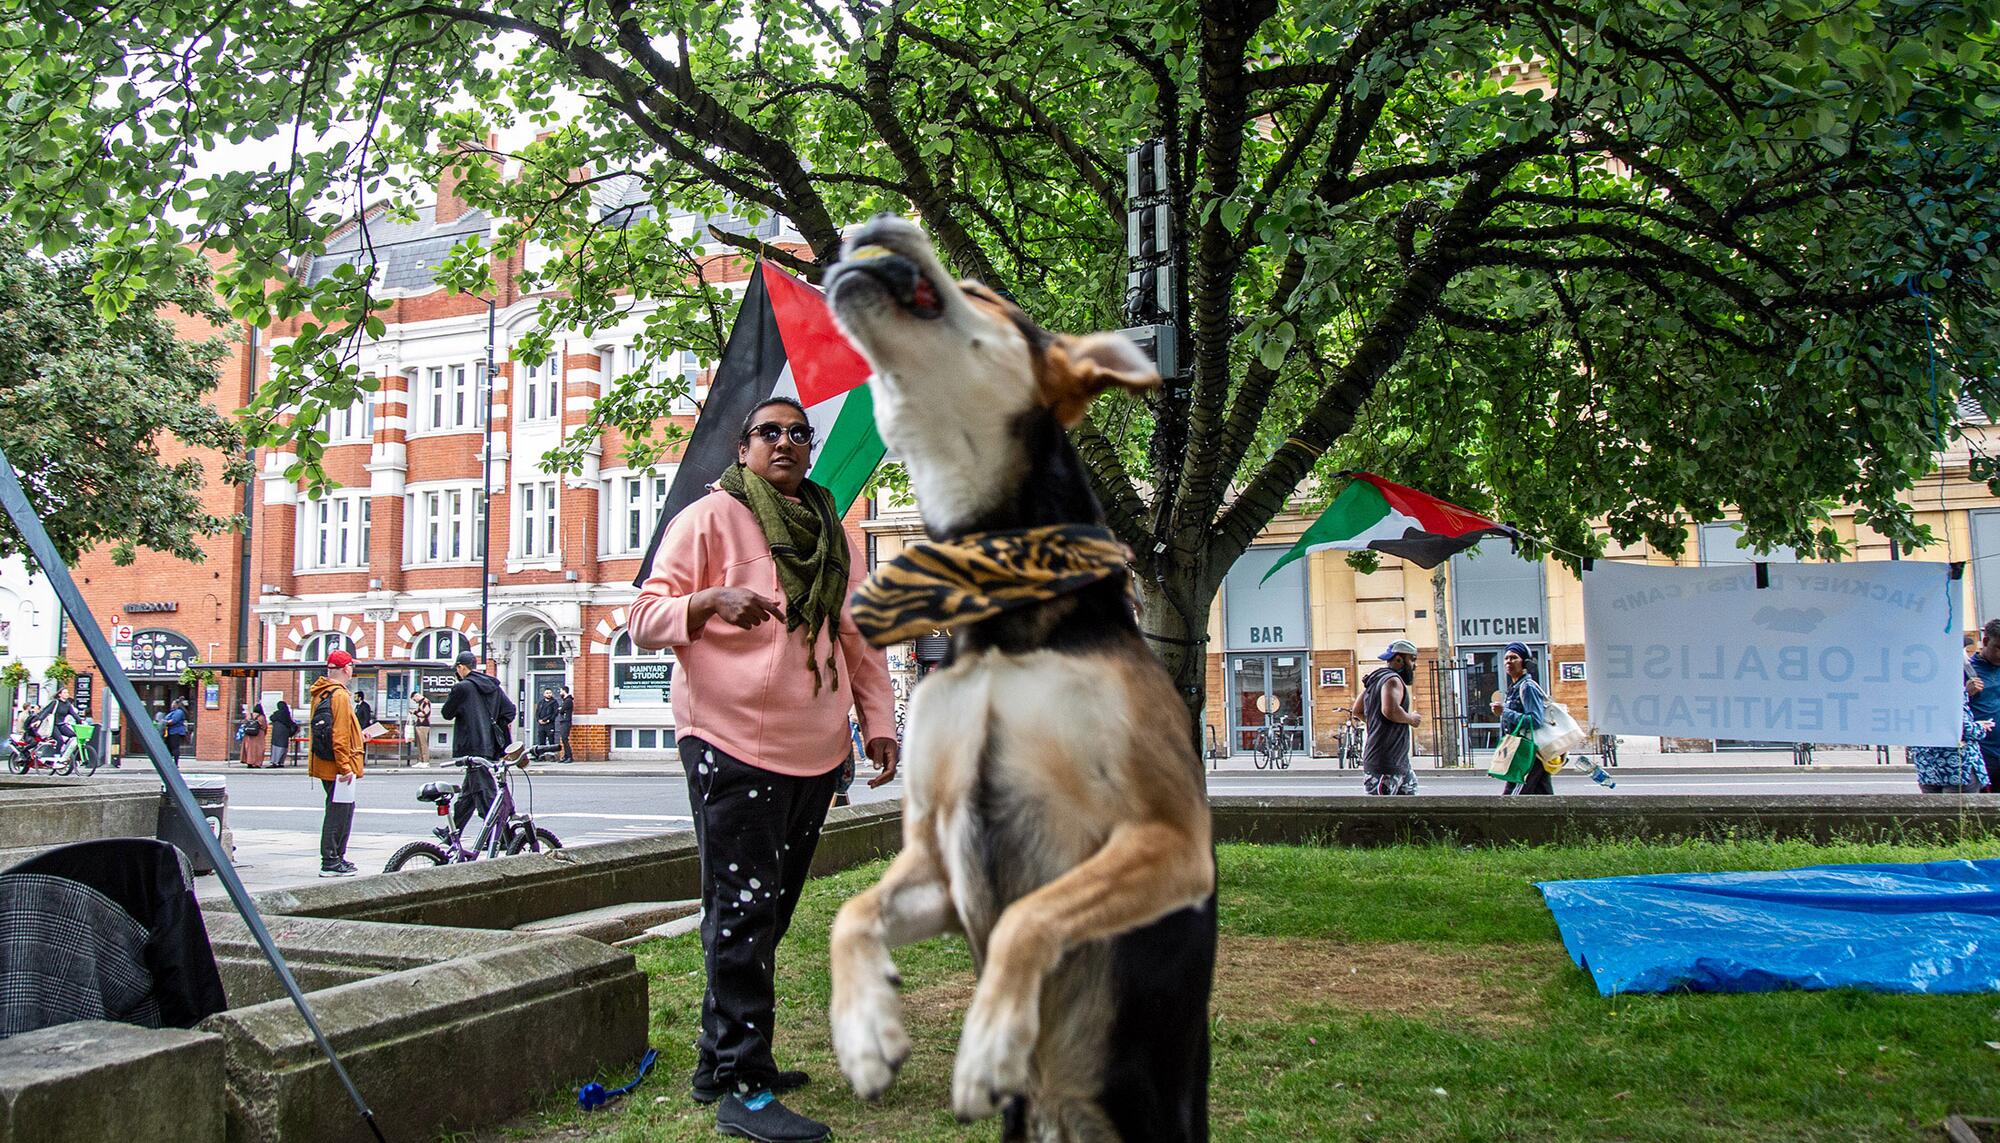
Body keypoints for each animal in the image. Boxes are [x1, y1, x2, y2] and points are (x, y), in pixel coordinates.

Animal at [820, 216, 1208, 1143]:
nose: (870, 224)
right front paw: (866, 1032)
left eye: (981, 291)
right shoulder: (934, 859)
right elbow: (847, 913)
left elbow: (1030, 918)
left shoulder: (1172, 838)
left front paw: (990, 1041)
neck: (1007, 618)